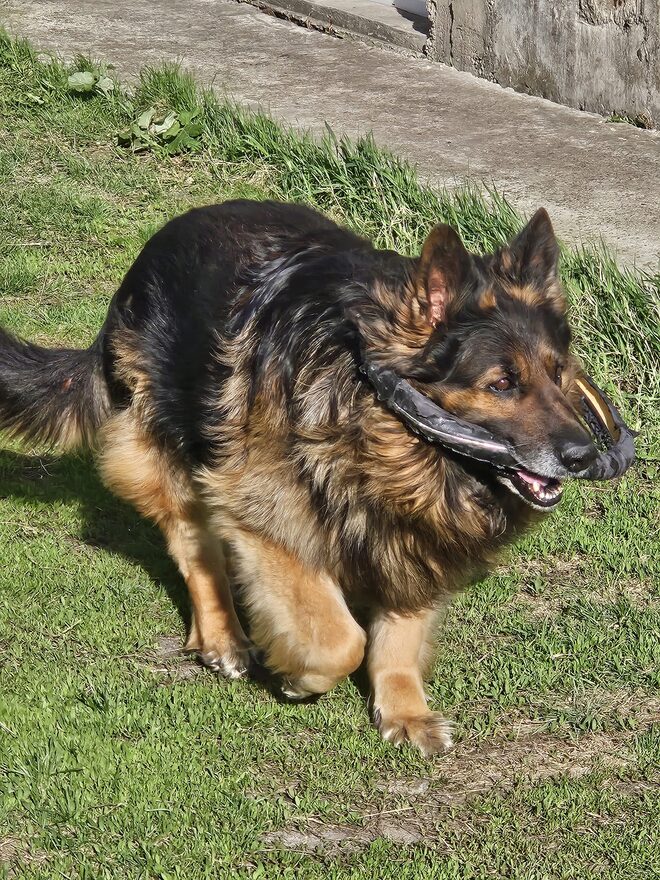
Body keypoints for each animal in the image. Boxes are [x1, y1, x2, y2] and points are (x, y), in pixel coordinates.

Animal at [1, 203, 620, 752]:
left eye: (558, 374)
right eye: (502, 384)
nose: (583, 455)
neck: (373, 415)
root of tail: (140, 267)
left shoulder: (417, 539)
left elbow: (399, 634)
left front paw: (403, 709)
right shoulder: (267, 518)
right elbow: (339, 640)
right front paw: (300, 676)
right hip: (169, 457)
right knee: (196, 549)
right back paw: (223, 636)